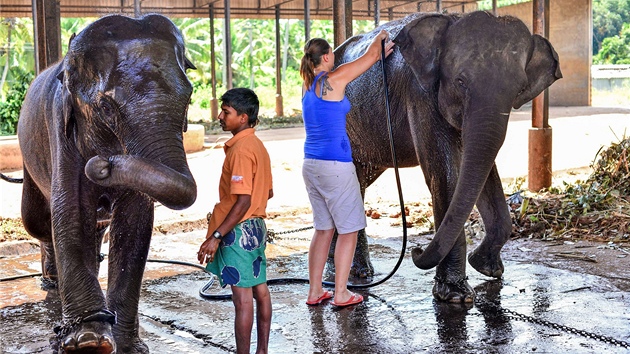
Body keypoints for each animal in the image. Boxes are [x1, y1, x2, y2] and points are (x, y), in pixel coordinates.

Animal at [14, 12, 198, 352]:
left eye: (189, 97)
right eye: (105, 107)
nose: (101, 165)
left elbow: (135, 223)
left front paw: (125, 345)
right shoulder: (61, 130)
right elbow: (70, 213)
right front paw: (86, 342)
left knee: (97, 226)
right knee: (39, 223)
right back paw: (51, 282)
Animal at [334, 11, 564, 302]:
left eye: (520, 89)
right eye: (460, 82)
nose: (415, 250)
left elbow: (483, 173)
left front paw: (487, 269)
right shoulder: (420, 96)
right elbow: (445, 176)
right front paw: (456, 296)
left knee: (359, 182)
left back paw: (360, 272)